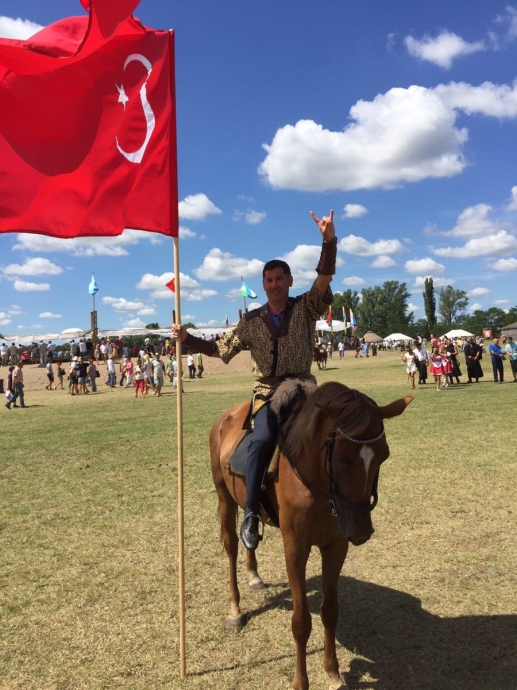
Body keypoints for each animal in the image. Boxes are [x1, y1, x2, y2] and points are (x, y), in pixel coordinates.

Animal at [210, 380, 413, 690]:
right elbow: (301, 620)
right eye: (341, 457)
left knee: (248, 537)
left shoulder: (336, 546)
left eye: (384, 454)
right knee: (232, 546)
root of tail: (225, 418)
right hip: (224, 497)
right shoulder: (296, 549)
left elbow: (329, 610)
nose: (362, 531)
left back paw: (254, 575)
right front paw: (301, 682)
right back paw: (235, 610)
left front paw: (333, 674)